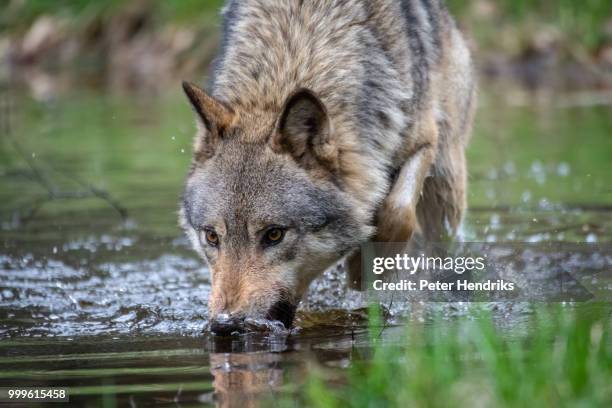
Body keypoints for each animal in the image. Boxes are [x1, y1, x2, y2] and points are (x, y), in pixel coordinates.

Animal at [179, 0, 476, 334]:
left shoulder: (423, 139)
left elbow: (397, 211)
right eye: (211, 237)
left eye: (273, 235)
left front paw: (365, 270)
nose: (225, 325)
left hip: (446, 185)